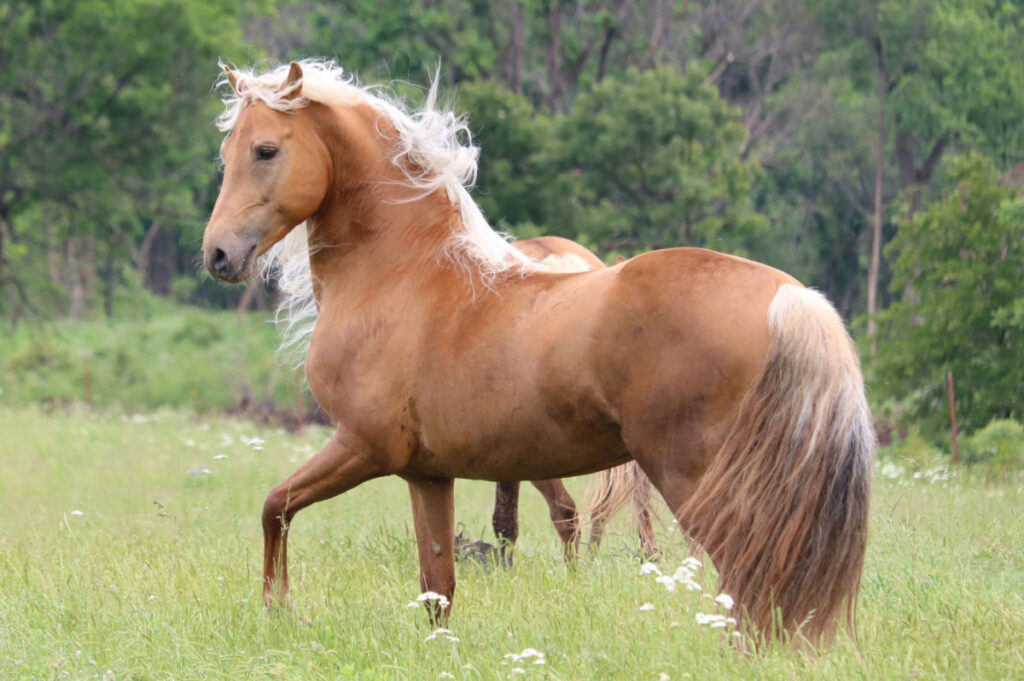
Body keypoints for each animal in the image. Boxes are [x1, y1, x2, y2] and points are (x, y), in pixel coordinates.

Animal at [203, 61, 876, 647]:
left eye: (266, 150)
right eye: (228, 151)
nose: (217, 255)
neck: (404, 275)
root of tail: (789, 296)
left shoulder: (362, 447)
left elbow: (274, 508)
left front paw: (279, 611)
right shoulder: (427, 473)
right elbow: (437, 585)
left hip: (694, 477)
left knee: (744, 577)